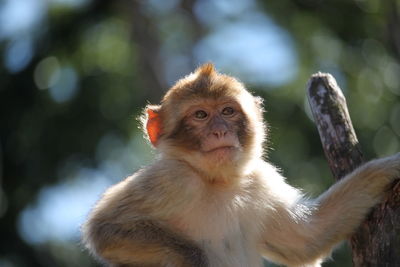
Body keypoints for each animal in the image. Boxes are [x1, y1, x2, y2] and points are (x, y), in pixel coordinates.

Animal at [82, 63, 400, 267]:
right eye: (200, 115)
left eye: (227, 111)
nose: (220, 131)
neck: (216, 182)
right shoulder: (173, 179)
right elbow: (104, 229)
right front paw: (194, 260)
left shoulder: (259, 180)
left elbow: (305, 239)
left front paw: (389, 167)